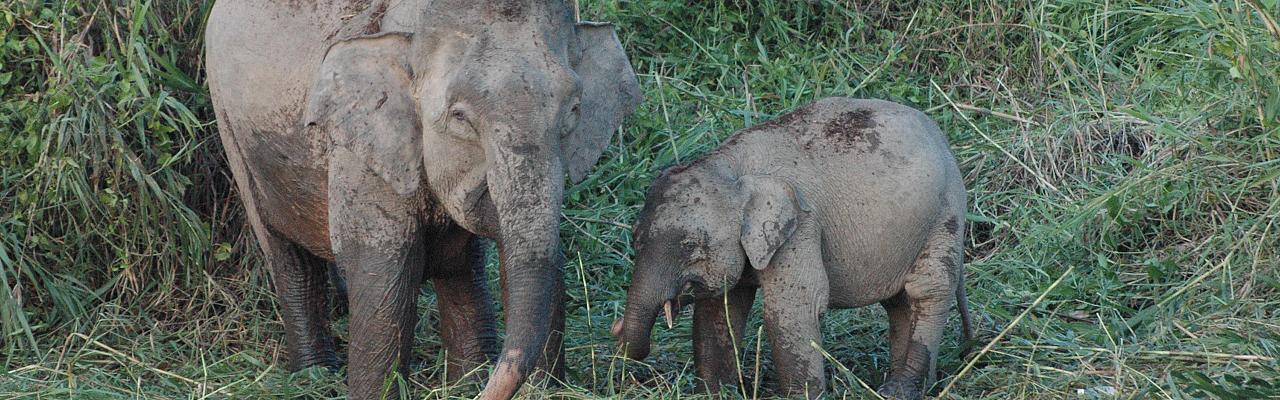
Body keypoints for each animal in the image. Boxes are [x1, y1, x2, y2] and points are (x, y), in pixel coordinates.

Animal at [204, 1, 640, 397]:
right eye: (460, 117)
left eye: (574, 110)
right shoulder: (362, 154)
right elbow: (384, 275)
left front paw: (533, 389)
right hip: (232, 132)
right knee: (288, 258)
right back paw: (313, 377)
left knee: (462, 267)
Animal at [609, 97, 967, 400]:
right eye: (635, 238)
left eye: (690, 247)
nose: (615, 328)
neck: (731, 166)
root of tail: (944, 141)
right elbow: (719, 310)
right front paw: (714, 393)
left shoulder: (802, 228)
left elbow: (793, 309)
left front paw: (804, 395)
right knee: (900, 303)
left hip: (945, 216)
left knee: (927, 290)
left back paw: (899, 390)